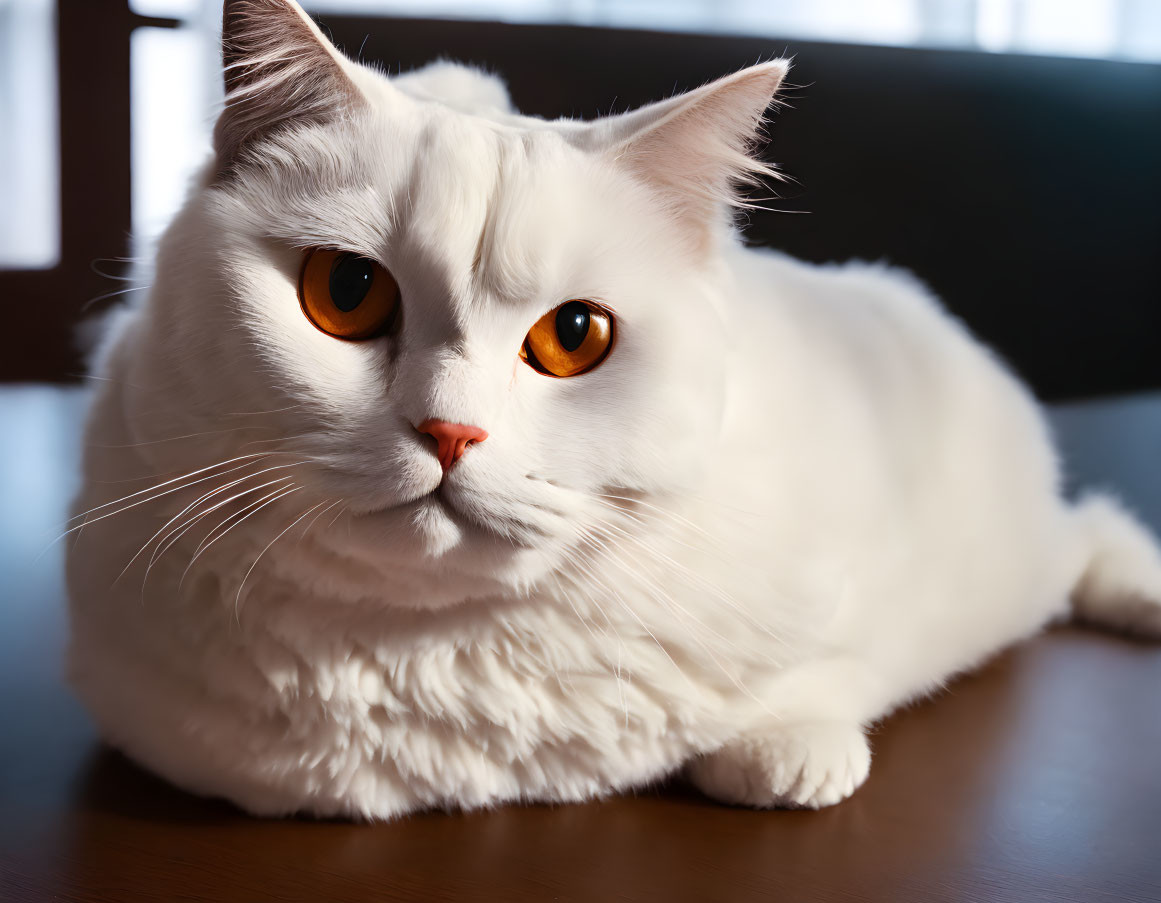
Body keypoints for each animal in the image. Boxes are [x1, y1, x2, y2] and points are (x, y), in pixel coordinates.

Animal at [65, 0, 1161, 817]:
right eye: (347, 292)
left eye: (575, 335)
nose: (450, 431)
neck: (435, 656)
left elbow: (835, 670)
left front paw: (787, 751)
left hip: (1011, 538)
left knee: (1088, 534)